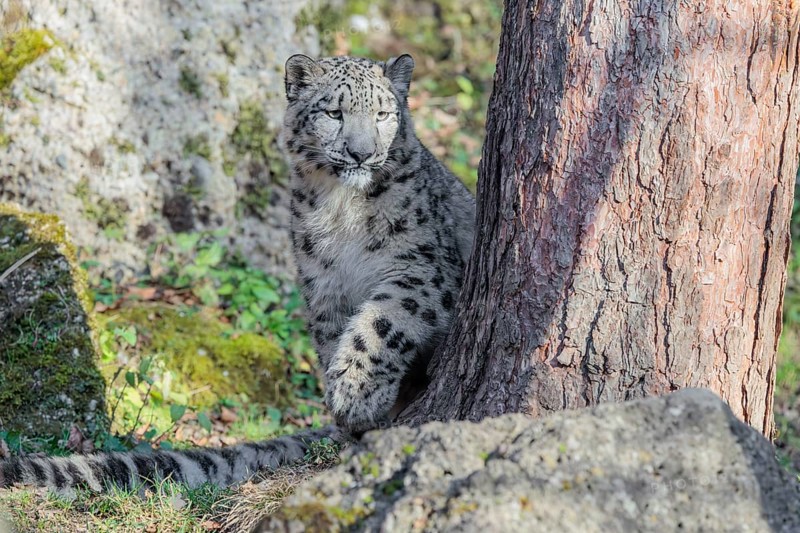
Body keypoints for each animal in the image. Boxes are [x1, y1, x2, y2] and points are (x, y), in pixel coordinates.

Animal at [0, 54, 475, 493]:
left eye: (382, 113)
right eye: (334, 112)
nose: (362, 152)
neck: (344, 213)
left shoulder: (424, 267)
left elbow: (382, 319)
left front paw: (354, 394)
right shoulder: (324, 285)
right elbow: (334, 339)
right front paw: (351, 412)